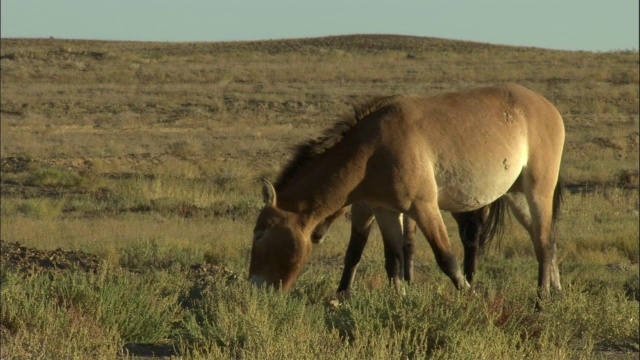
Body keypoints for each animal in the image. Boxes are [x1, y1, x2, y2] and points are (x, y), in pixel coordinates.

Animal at [310, 200, 504, 296]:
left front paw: (342, 293)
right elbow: (406, 244)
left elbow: (355, 251)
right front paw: (407, 283)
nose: (314, 235)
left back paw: (469, 281)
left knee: (471, 236)